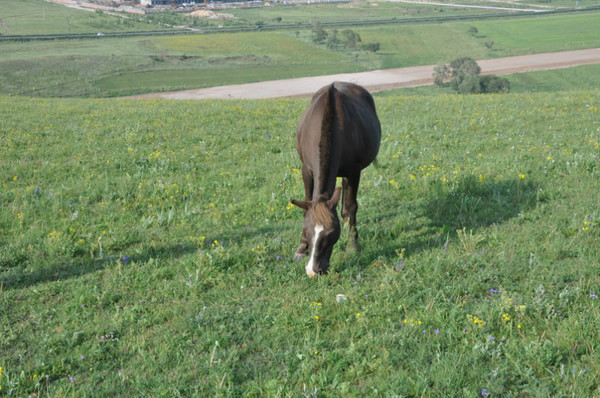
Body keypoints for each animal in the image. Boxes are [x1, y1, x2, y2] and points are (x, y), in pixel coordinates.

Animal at [292, 81, 382, 276]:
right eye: (306, 230)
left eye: (331, 233)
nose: (313, 270)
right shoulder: (306, 169)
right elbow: (306, 204)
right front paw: (301, 248)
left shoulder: (353, 172)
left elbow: (350, 207)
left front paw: (353, 245)